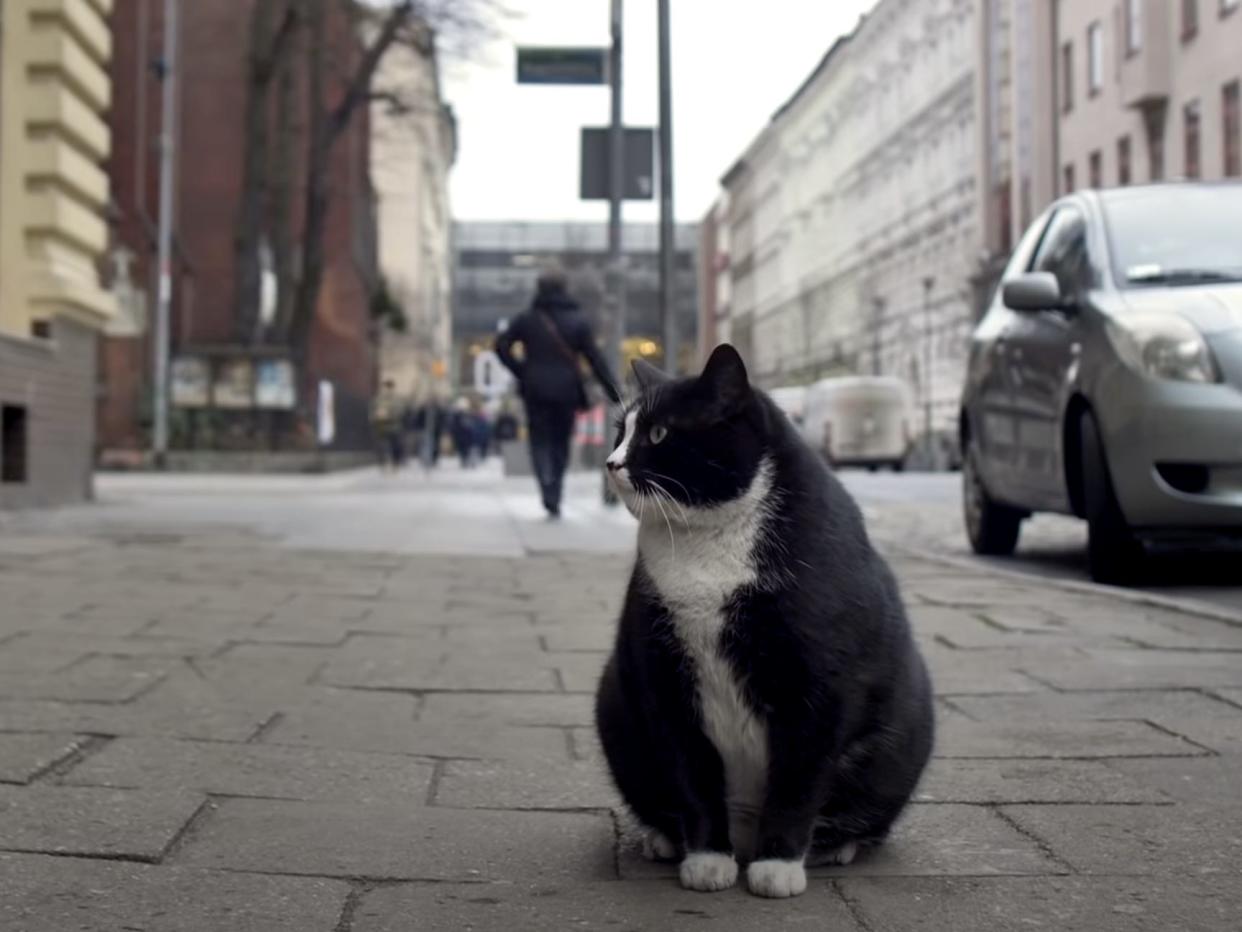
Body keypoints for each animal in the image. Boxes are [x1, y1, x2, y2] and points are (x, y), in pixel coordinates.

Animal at [593, 347, 933, 899]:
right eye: (620, 430)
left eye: (660, 434)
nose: (611, 462)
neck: (707, 548)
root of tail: (746, 835)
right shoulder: (663, 677)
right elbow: (692, 776)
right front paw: (707, 858)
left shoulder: (821, 686)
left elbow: (798, 781)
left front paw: (778, 866)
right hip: (616, 708)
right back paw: (666, 839)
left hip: (901, 741)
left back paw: (833, 847)